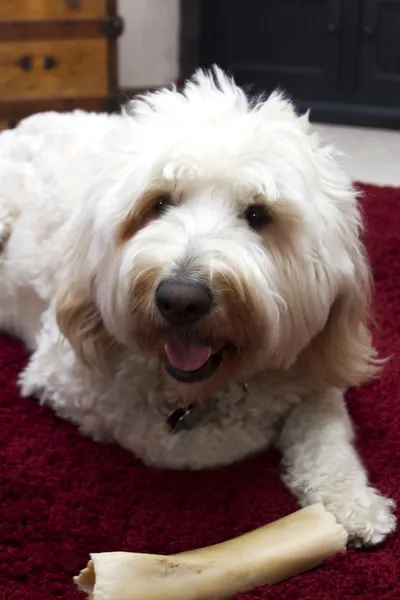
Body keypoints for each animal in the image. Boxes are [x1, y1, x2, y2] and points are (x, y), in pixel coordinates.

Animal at [0, 68, 396, 548]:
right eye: (158, 203)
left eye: (259, 214)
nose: (180, 298)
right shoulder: (74, 385)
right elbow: (193, 444)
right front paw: (260, 433)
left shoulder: (313, 365)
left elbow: (326, 429)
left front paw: (353, 503)